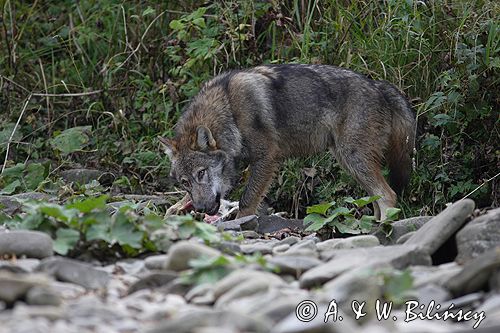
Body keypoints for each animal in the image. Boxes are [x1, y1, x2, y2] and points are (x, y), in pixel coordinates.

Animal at [158, 65, 416, 220]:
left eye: (201, 173)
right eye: (184, 182)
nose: (201, 209)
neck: (229, 110)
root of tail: (379, 85)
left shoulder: (267, 159)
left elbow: (246, 201)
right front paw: (174, 210)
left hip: (352, 158)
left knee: (387, 194)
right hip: (350, 162)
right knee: (376, 198)